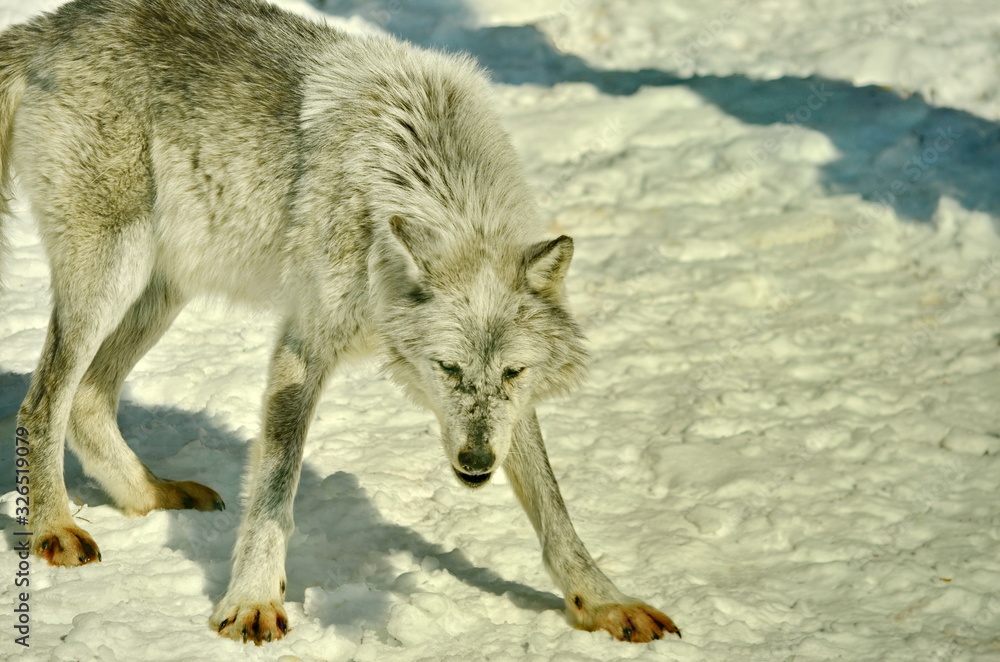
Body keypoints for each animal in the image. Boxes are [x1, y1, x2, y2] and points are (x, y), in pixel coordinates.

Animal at [0, 0, 679, 645]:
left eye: (513, 372)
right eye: (446, 367)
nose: (477, 462)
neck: (419, 179)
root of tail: (52, 26)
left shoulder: (512, 408)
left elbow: (554, 507)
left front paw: (605, 602)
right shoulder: (303, 348)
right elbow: (274, 493)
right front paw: (253, 602)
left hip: (165, 286)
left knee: (89, 399)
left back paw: (150, 496)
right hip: (114, 273)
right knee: (42, 404)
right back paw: (56, 526)